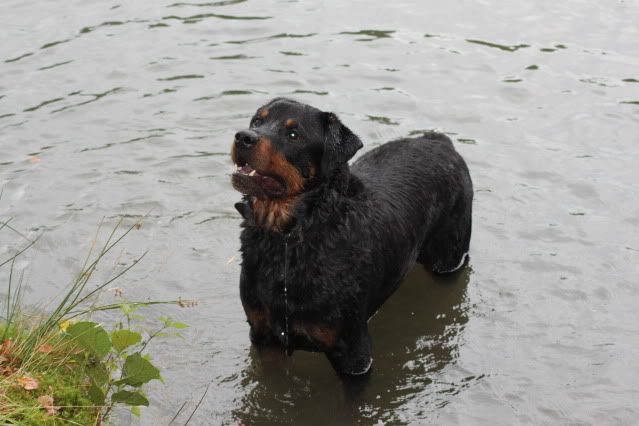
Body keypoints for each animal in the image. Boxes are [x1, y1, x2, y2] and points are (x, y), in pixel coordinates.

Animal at [232, 97, 472, 376]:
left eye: (293, 134)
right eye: (257, 121)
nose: (244, 136)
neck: (287, 240)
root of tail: (440, 141)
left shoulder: (353, 351)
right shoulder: (263, 335)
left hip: (449, 254)